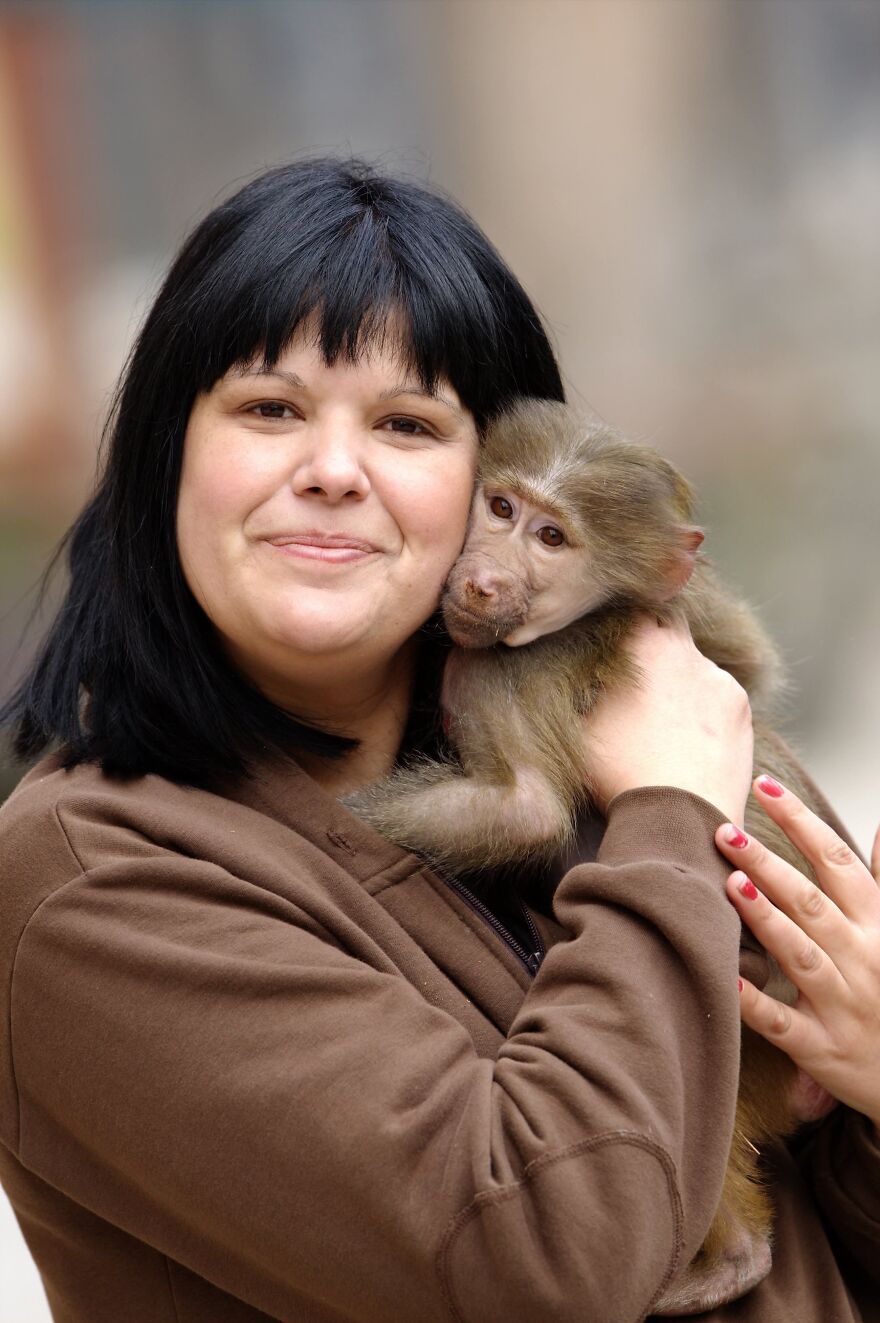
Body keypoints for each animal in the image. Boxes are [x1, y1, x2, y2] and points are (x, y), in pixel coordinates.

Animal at [345, 398, 835, 1313]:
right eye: (499, 508)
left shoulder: (506, 669)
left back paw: (730, 1259)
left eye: (552, 537)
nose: (481, 580)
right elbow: (749, 660)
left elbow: (527, 808)